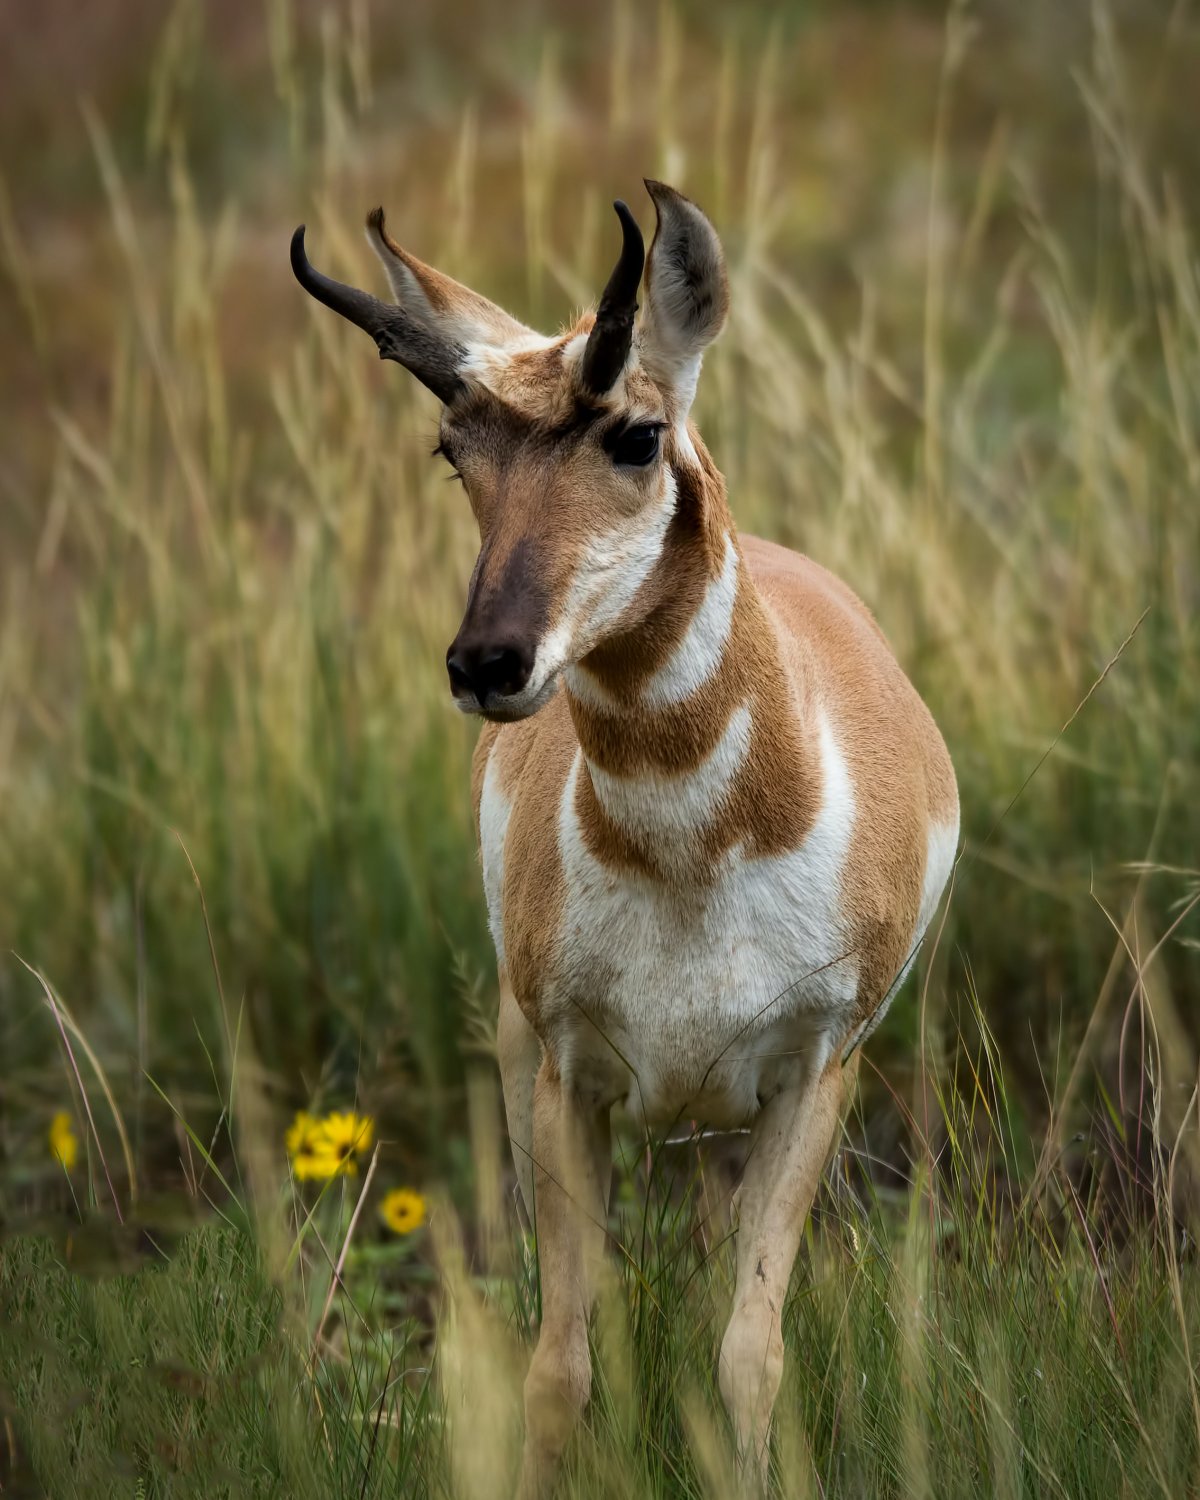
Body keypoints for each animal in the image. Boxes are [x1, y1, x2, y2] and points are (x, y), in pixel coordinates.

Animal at [291, 181, 954, 1494]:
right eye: (454, 450)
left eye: (637, 437)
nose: (488, 662)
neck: (695, 857)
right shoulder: (563, 1077)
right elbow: (559, 1367)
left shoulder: (814, 1078)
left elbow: (749, 1356)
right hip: (522, 1060)